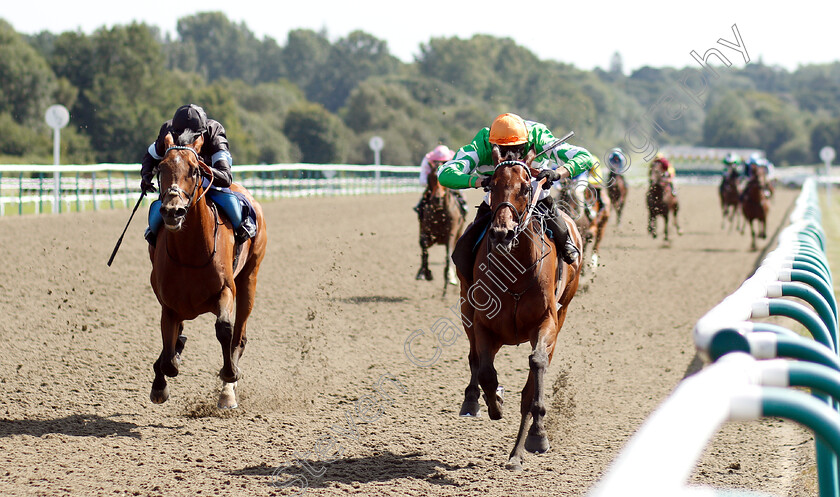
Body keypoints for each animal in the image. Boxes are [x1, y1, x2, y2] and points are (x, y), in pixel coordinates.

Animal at [148, 131, 266, 406]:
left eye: (194, 170)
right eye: (161, 167)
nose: (173, 211)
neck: (190, 252)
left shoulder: (226, 290)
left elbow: (224, 329)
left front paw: (230, 373)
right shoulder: (169, 304)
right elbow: (168, 351)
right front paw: (160, 383)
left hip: (249, 278)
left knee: (239, 336)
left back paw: (227, 392)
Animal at [418, 163, 470, 296]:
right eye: (430, 177)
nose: (437, 199)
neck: (439, 211)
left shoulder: (450, 235)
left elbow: (448, 256)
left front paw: (448, 281)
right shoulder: (426, 233)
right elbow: (424, 248)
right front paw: (425, 273)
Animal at [456, 146, 580, 468]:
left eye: (526, 187)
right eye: (492, 184)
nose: (503, 232)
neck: (516, 270)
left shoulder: (547, 321)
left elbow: (535, 367)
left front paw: (537, 435)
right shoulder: (483, 323)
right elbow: (485, 371)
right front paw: (494, 403)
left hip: (563, 311)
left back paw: (518, 451)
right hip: (466, 309)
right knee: (474, 358)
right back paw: (472, 400)